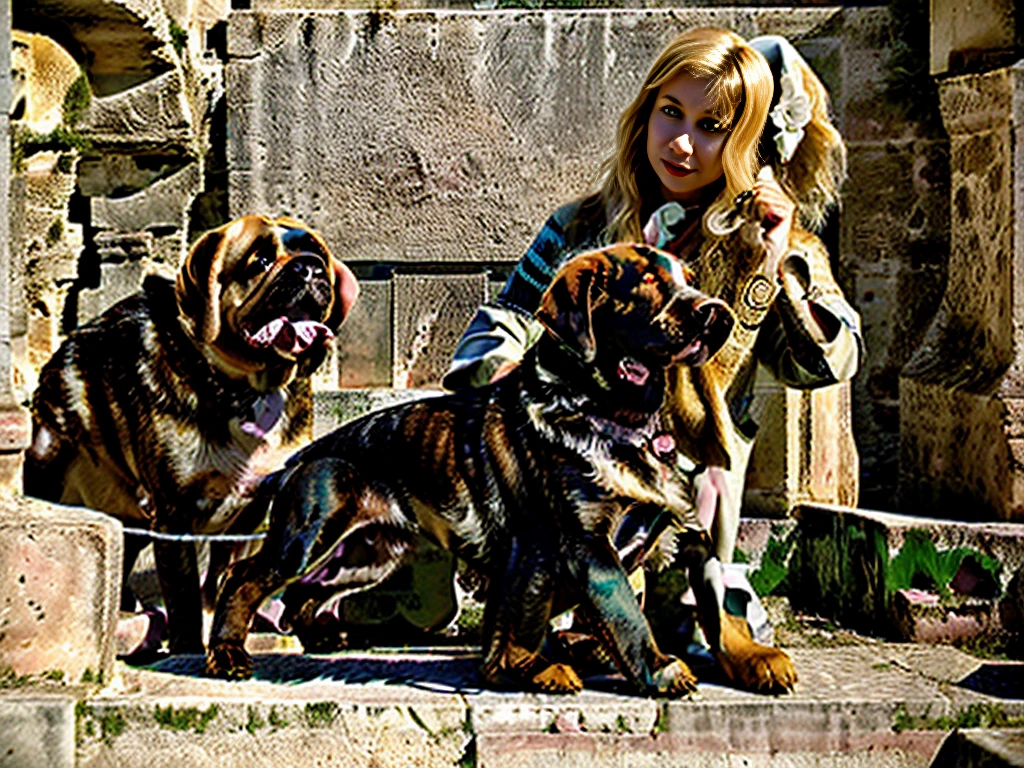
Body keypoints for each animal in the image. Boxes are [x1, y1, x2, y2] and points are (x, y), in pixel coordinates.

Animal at [25, 217, 360, 655]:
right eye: (260, 261)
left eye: (317, 255)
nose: (308, 268)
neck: (245, 387)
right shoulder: (175, 511)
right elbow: (183, 592)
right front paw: (188, 645)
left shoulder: (251, 510)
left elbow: (223, 579)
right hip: (52, 463)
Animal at [199, 244, 790, 696]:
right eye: (645, 280)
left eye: (689, 280)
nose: (718, 313)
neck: (617, 416)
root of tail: (302, 456)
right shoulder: (584, 545)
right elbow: (624, 611)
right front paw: (659, 671)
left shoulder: (686, 532)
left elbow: (719, 609)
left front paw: (753, 660)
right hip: (306, 536)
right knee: (244, 578)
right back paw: (226, 655)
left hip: (370, 554)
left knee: (307, 592)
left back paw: (323, 639)